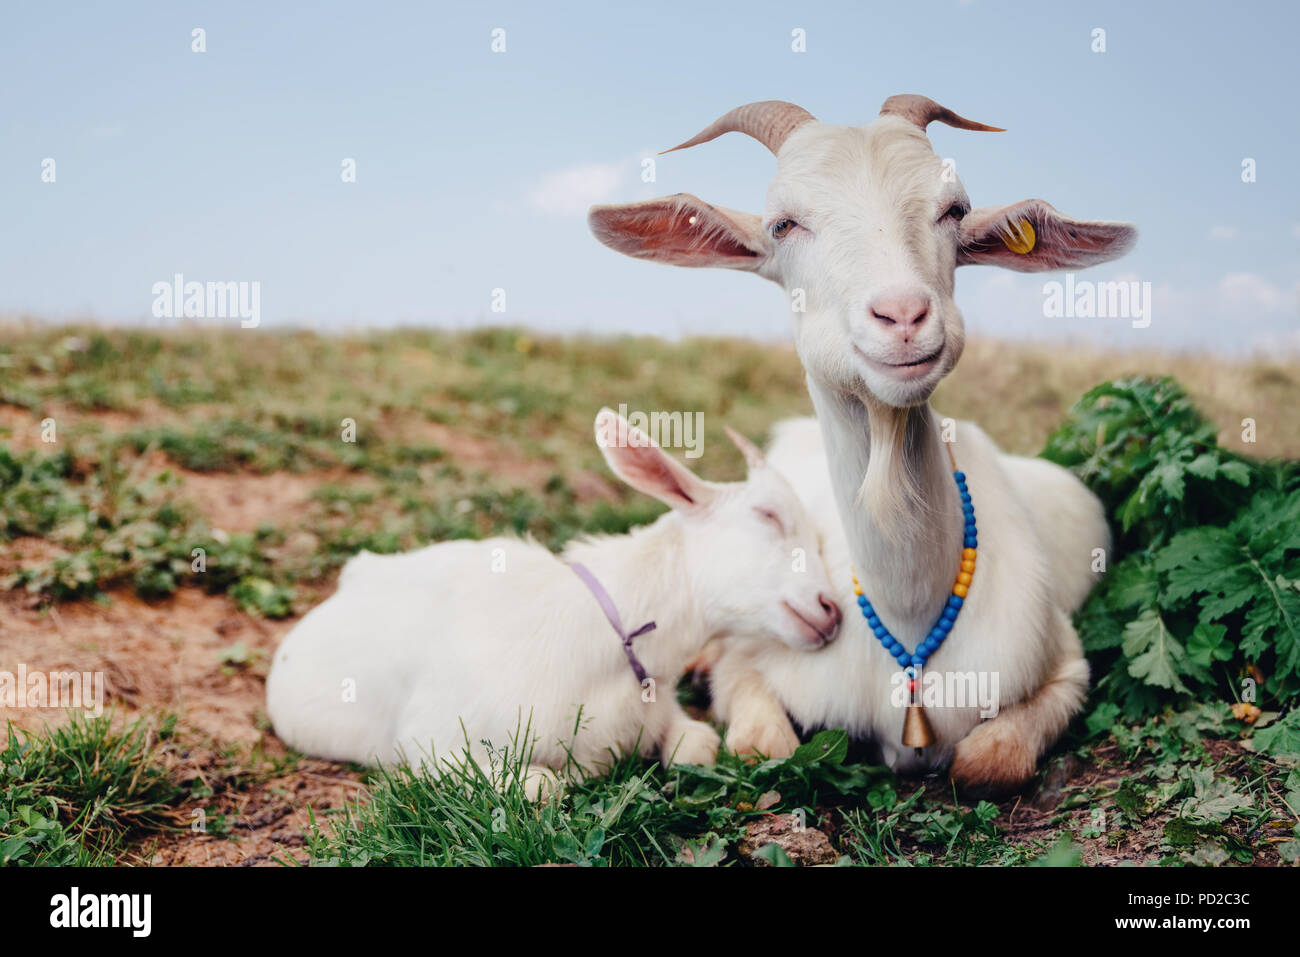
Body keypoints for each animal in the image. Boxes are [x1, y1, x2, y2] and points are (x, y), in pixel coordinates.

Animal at [263, 410, 837, 790]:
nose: (831, 609)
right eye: (768, 515)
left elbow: (699, 744)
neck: (612, 634)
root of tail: (356, 575)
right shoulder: (434, 744)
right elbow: (545, 785)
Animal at [590, 95, 1138, 790]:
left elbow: (989, 761)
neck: (908, 618)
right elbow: (760, 744)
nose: (902, 316)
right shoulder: (758, 659)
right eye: (783, 224)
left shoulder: (1064, 660)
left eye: (954, 209)